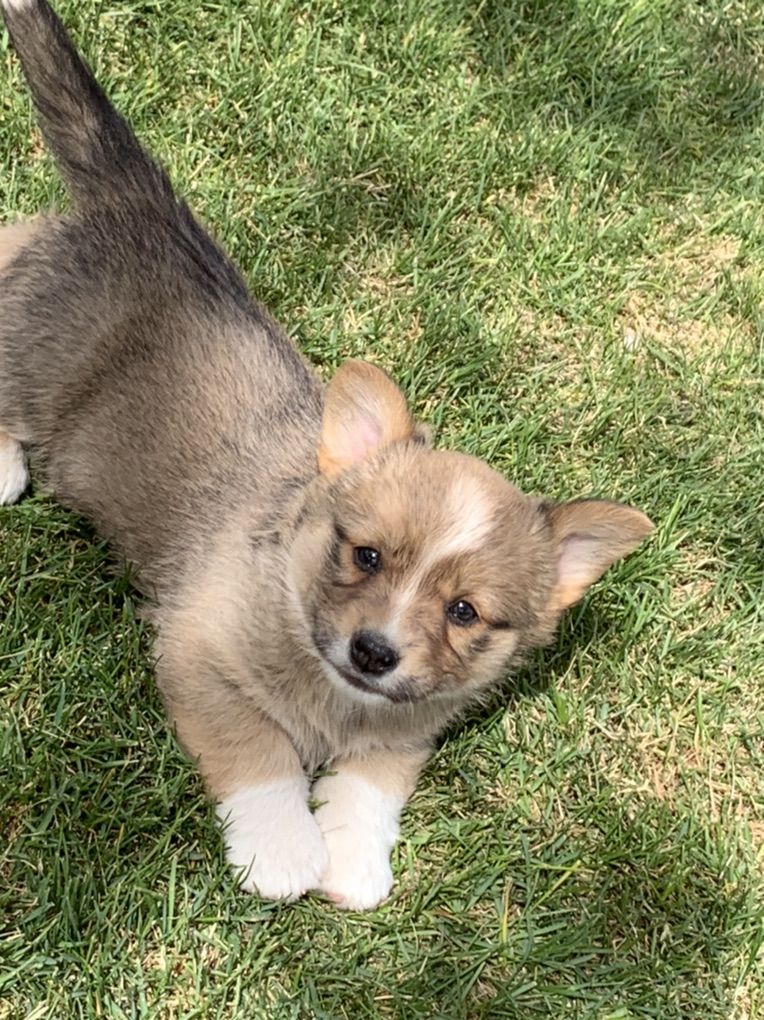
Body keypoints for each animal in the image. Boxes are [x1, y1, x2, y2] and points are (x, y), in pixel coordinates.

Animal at [0, 0, 653, 910]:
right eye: (366, 554)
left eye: (464, 612)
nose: (374, 652)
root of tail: (140, 203)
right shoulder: (198, 657)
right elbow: (261, 752)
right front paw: (282, 852)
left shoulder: (410, 730)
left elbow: (373, 783)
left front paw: (354, 862)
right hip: (39, 346)